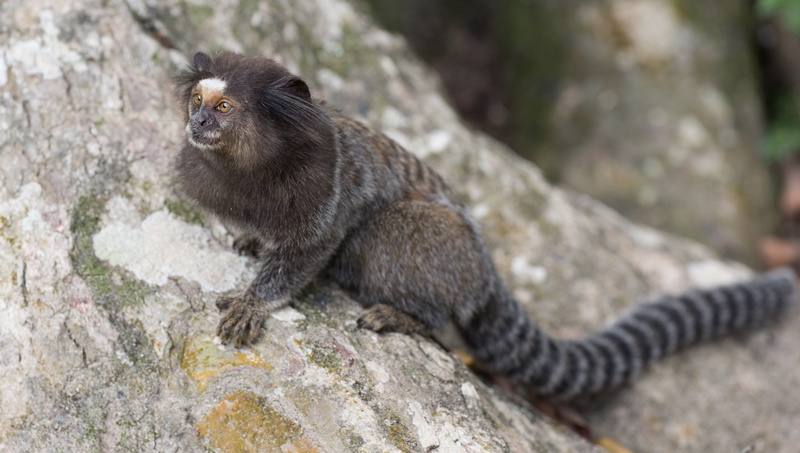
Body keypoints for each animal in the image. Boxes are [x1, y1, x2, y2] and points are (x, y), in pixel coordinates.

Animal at [173, 52, 797, 401]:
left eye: (224, 109)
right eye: (197, 102)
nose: (198, 121)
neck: (252, 166)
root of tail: (484, 272)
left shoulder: (324, 199)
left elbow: (309, 250)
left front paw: (256, 300)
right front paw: (249, 238)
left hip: (434, 245)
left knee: (393, 238)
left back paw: (404, 315)